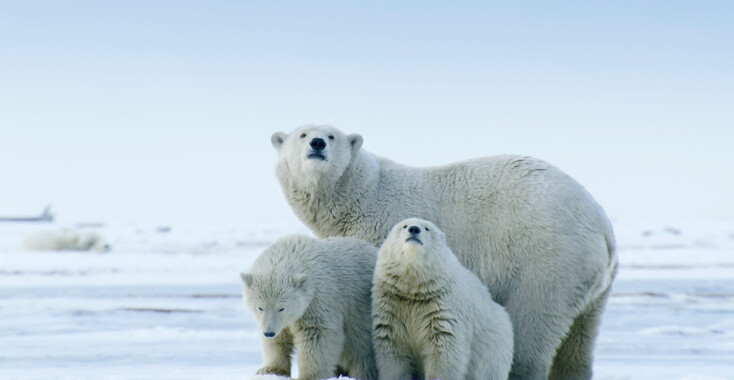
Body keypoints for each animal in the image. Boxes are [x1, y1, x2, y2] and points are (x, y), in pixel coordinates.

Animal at [242, 235, 380, 380]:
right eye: (260, 307)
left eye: (281, 308)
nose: (269, 332)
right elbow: (280, 338)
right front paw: (270, 370)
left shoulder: (319, 298)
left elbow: (316, 334)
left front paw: (309, 376)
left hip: (361, 314)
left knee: (361, 352)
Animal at [374, 217, 512, 380]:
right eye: (404, 226)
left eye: (427, 228)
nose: (414, 229)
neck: (414, 289)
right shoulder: (393, 304)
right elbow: (392, 347)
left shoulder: (442, 306)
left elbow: (444, 348)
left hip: (494, 348)